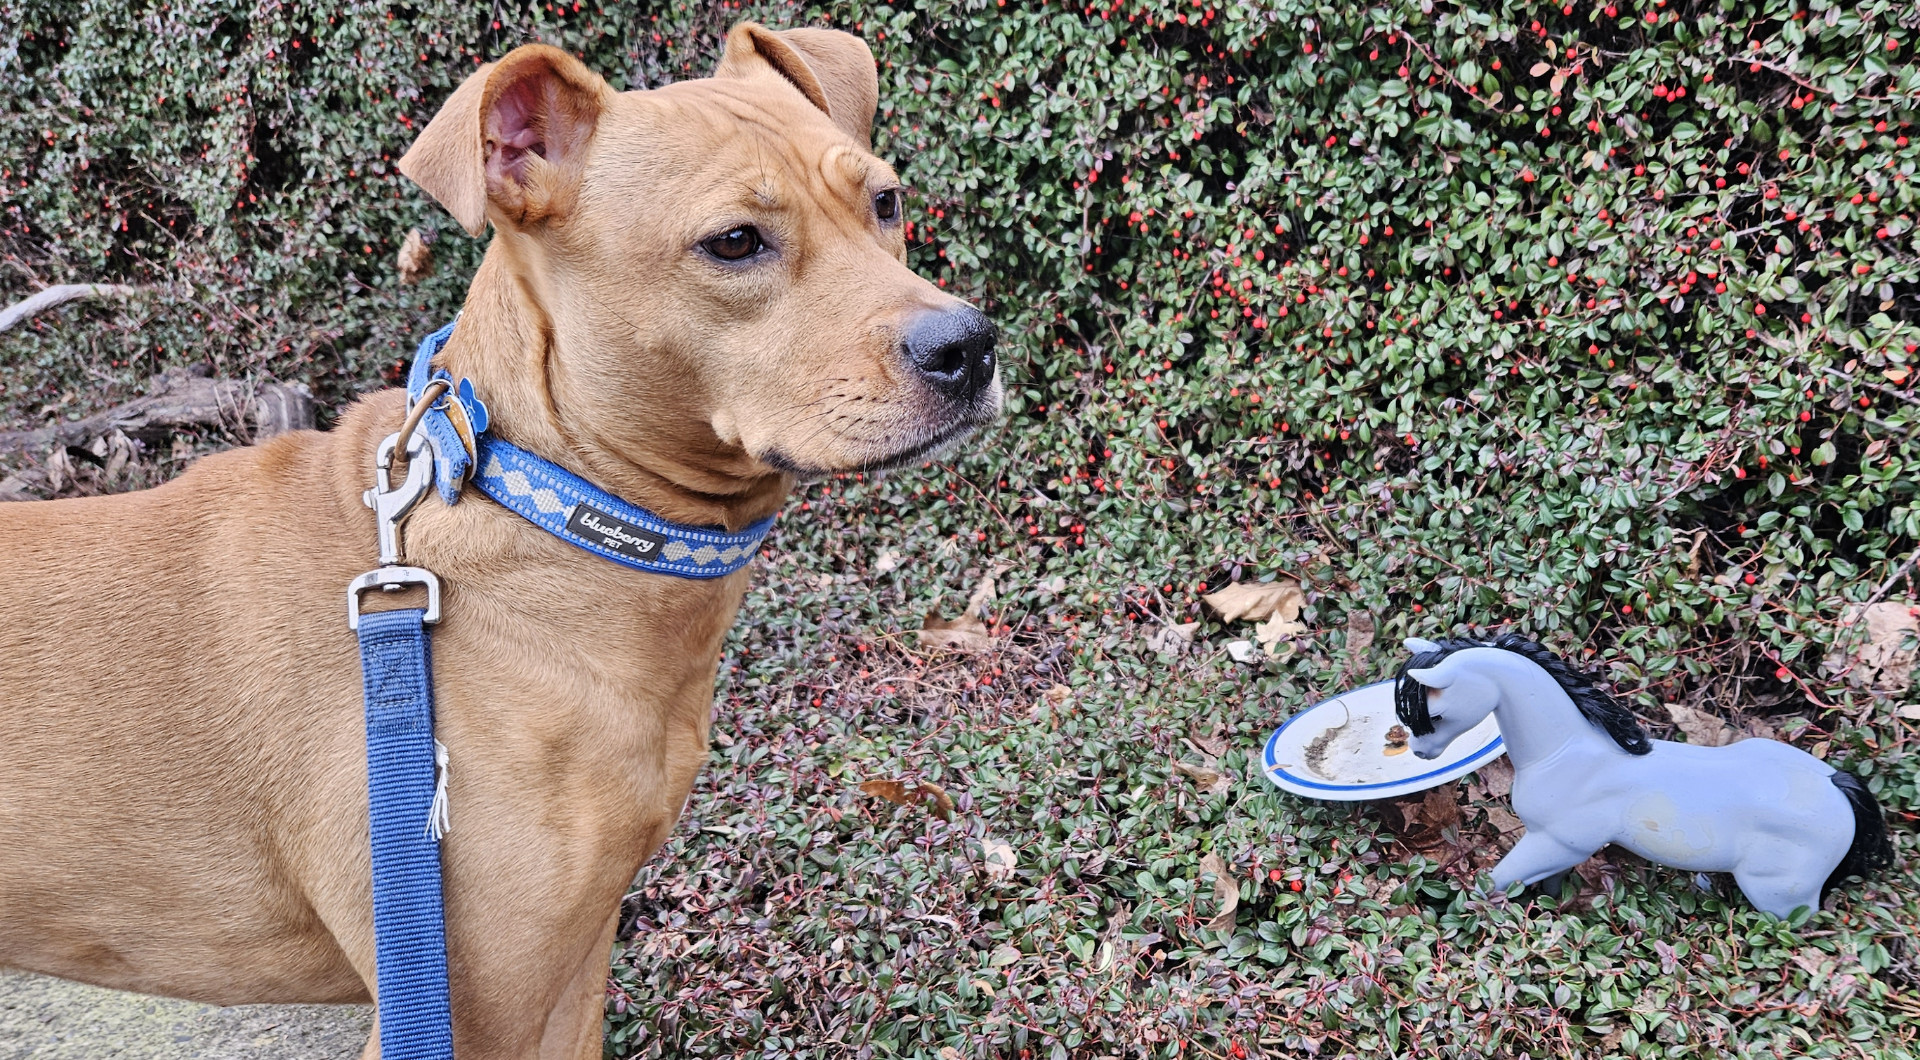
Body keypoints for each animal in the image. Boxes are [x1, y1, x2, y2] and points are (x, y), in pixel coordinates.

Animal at [0, 24, 998, 1060]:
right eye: (734, 243)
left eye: (884, 201)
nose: (968, 345)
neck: (543, 516)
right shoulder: (471, 1003)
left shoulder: (576, 962)